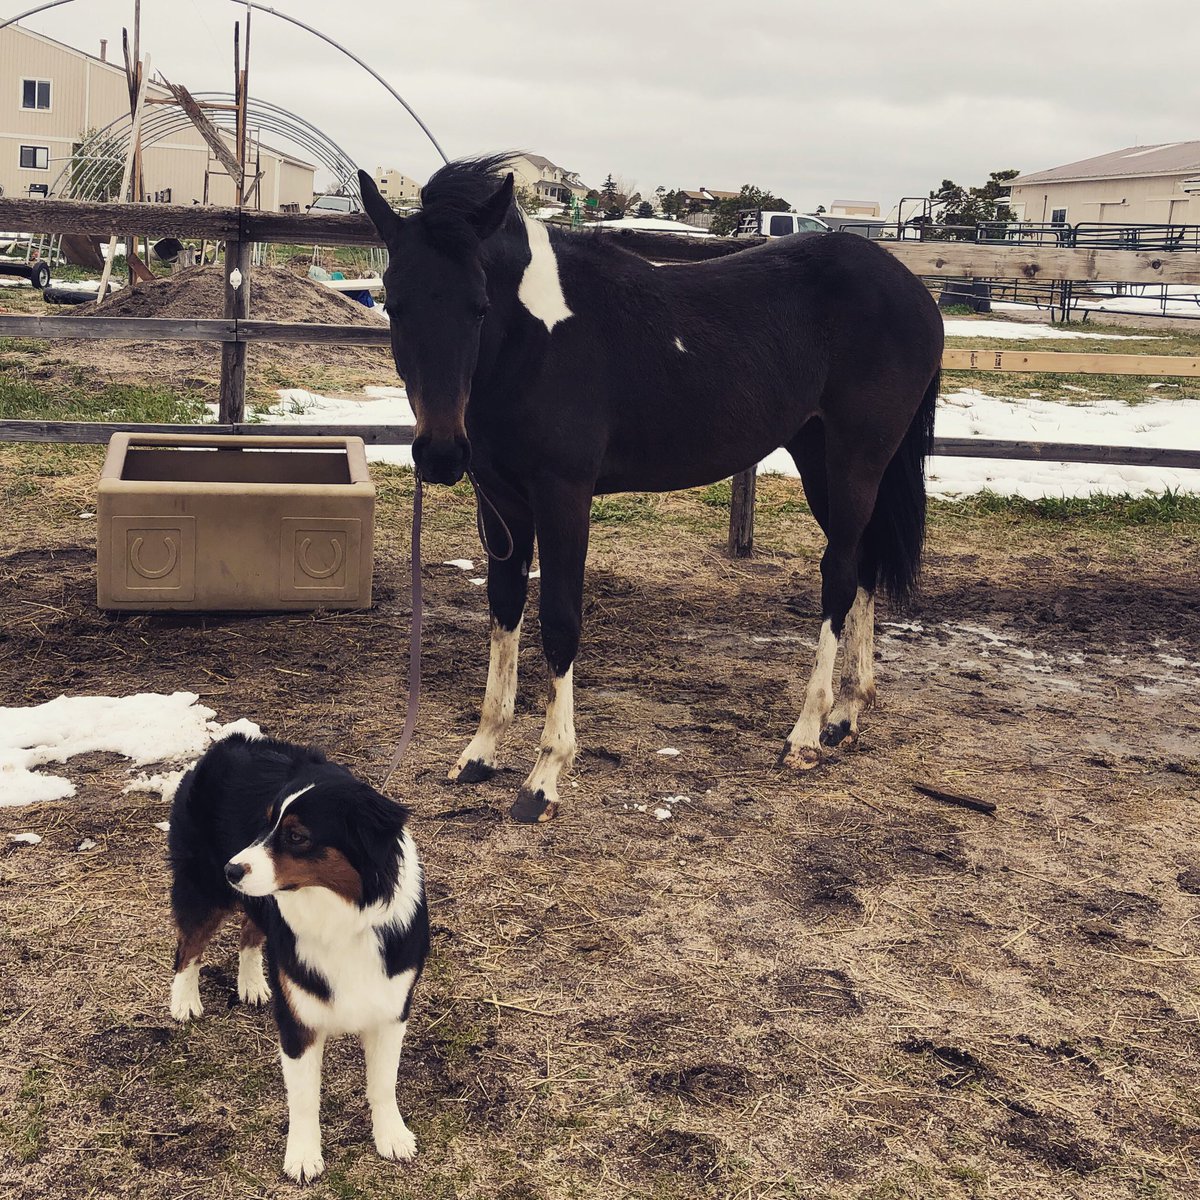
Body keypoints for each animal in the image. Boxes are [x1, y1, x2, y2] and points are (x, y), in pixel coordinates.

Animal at [360, 154, 940, 820]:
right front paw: (480, 752)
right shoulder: (500, 500)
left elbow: (559, 620)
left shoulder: (563, 495)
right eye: (393, 305)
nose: (440, 453)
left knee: (840, 577)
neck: (535, 342)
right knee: (864, 566)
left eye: (479, 306)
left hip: (853, 463)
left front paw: (544, 777)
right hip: (820, 458)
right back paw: (845, 714)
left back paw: (804, 735)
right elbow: (504, 611)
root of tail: (911, 290)